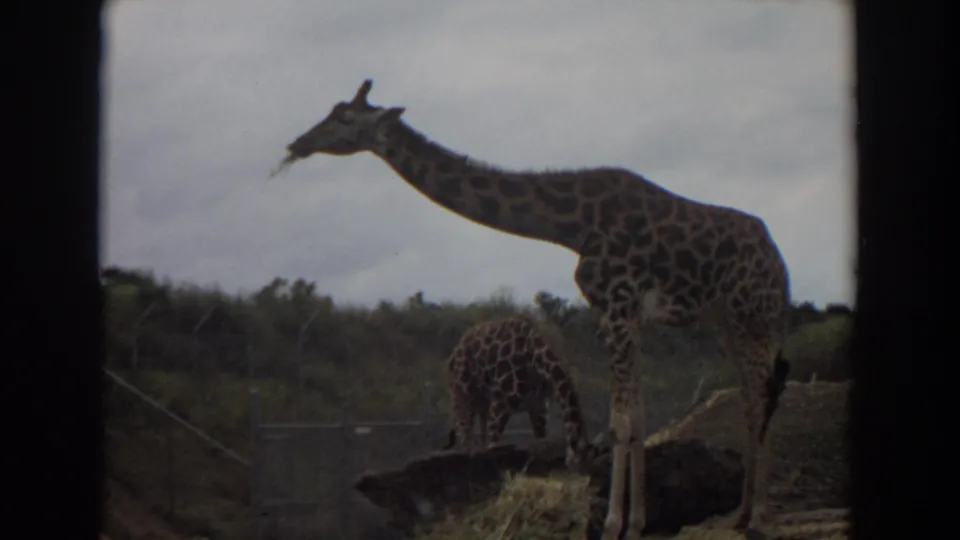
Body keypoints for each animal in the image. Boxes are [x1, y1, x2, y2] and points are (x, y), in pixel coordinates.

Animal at [438, 314, 599, 472]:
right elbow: (493, 443)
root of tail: (453, 355)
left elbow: (540, 443)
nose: (576, 471)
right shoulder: (501, 401)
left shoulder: (538, 404)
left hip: (482, 401)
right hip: (463, 394)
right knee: (465, 434)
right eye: (579, 464)